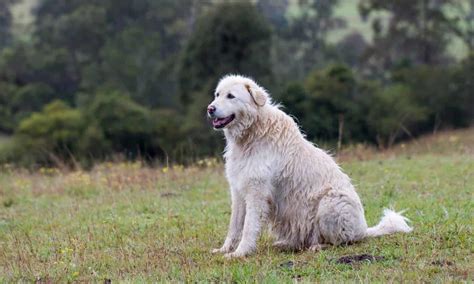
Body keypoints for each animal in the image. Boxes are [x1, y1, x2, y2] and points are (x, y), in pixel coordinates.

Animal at [207, 74, 412, 258]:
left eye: (231, 96)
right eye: (217, 94)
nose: (210, 109)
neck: (252, 132)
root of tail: (364, 230)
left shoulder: (256, 193)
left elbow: (249, 227)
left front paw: (240, 253)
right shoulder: (238, 191)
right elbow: (234, 227)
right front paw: (225, 250)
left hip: (329, 203)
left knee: (340, 241)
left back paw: (318, 247)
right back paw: (286, 244)